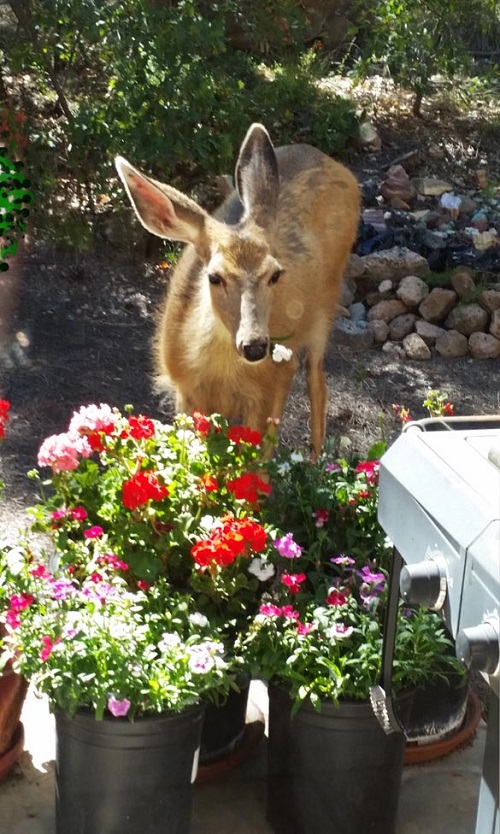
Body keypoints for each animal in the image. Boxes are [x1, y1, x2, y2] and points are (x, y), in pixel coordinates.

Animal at [115, 122, 360, 458]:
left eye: (275, 274)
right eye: (214, 277)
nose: (254, 345)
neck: (219, 374)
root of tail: (336, 164)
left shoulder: (261, 392)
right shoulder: (185, 393)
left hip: (326, 305)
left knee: (317, 380)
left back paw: (315, 461)